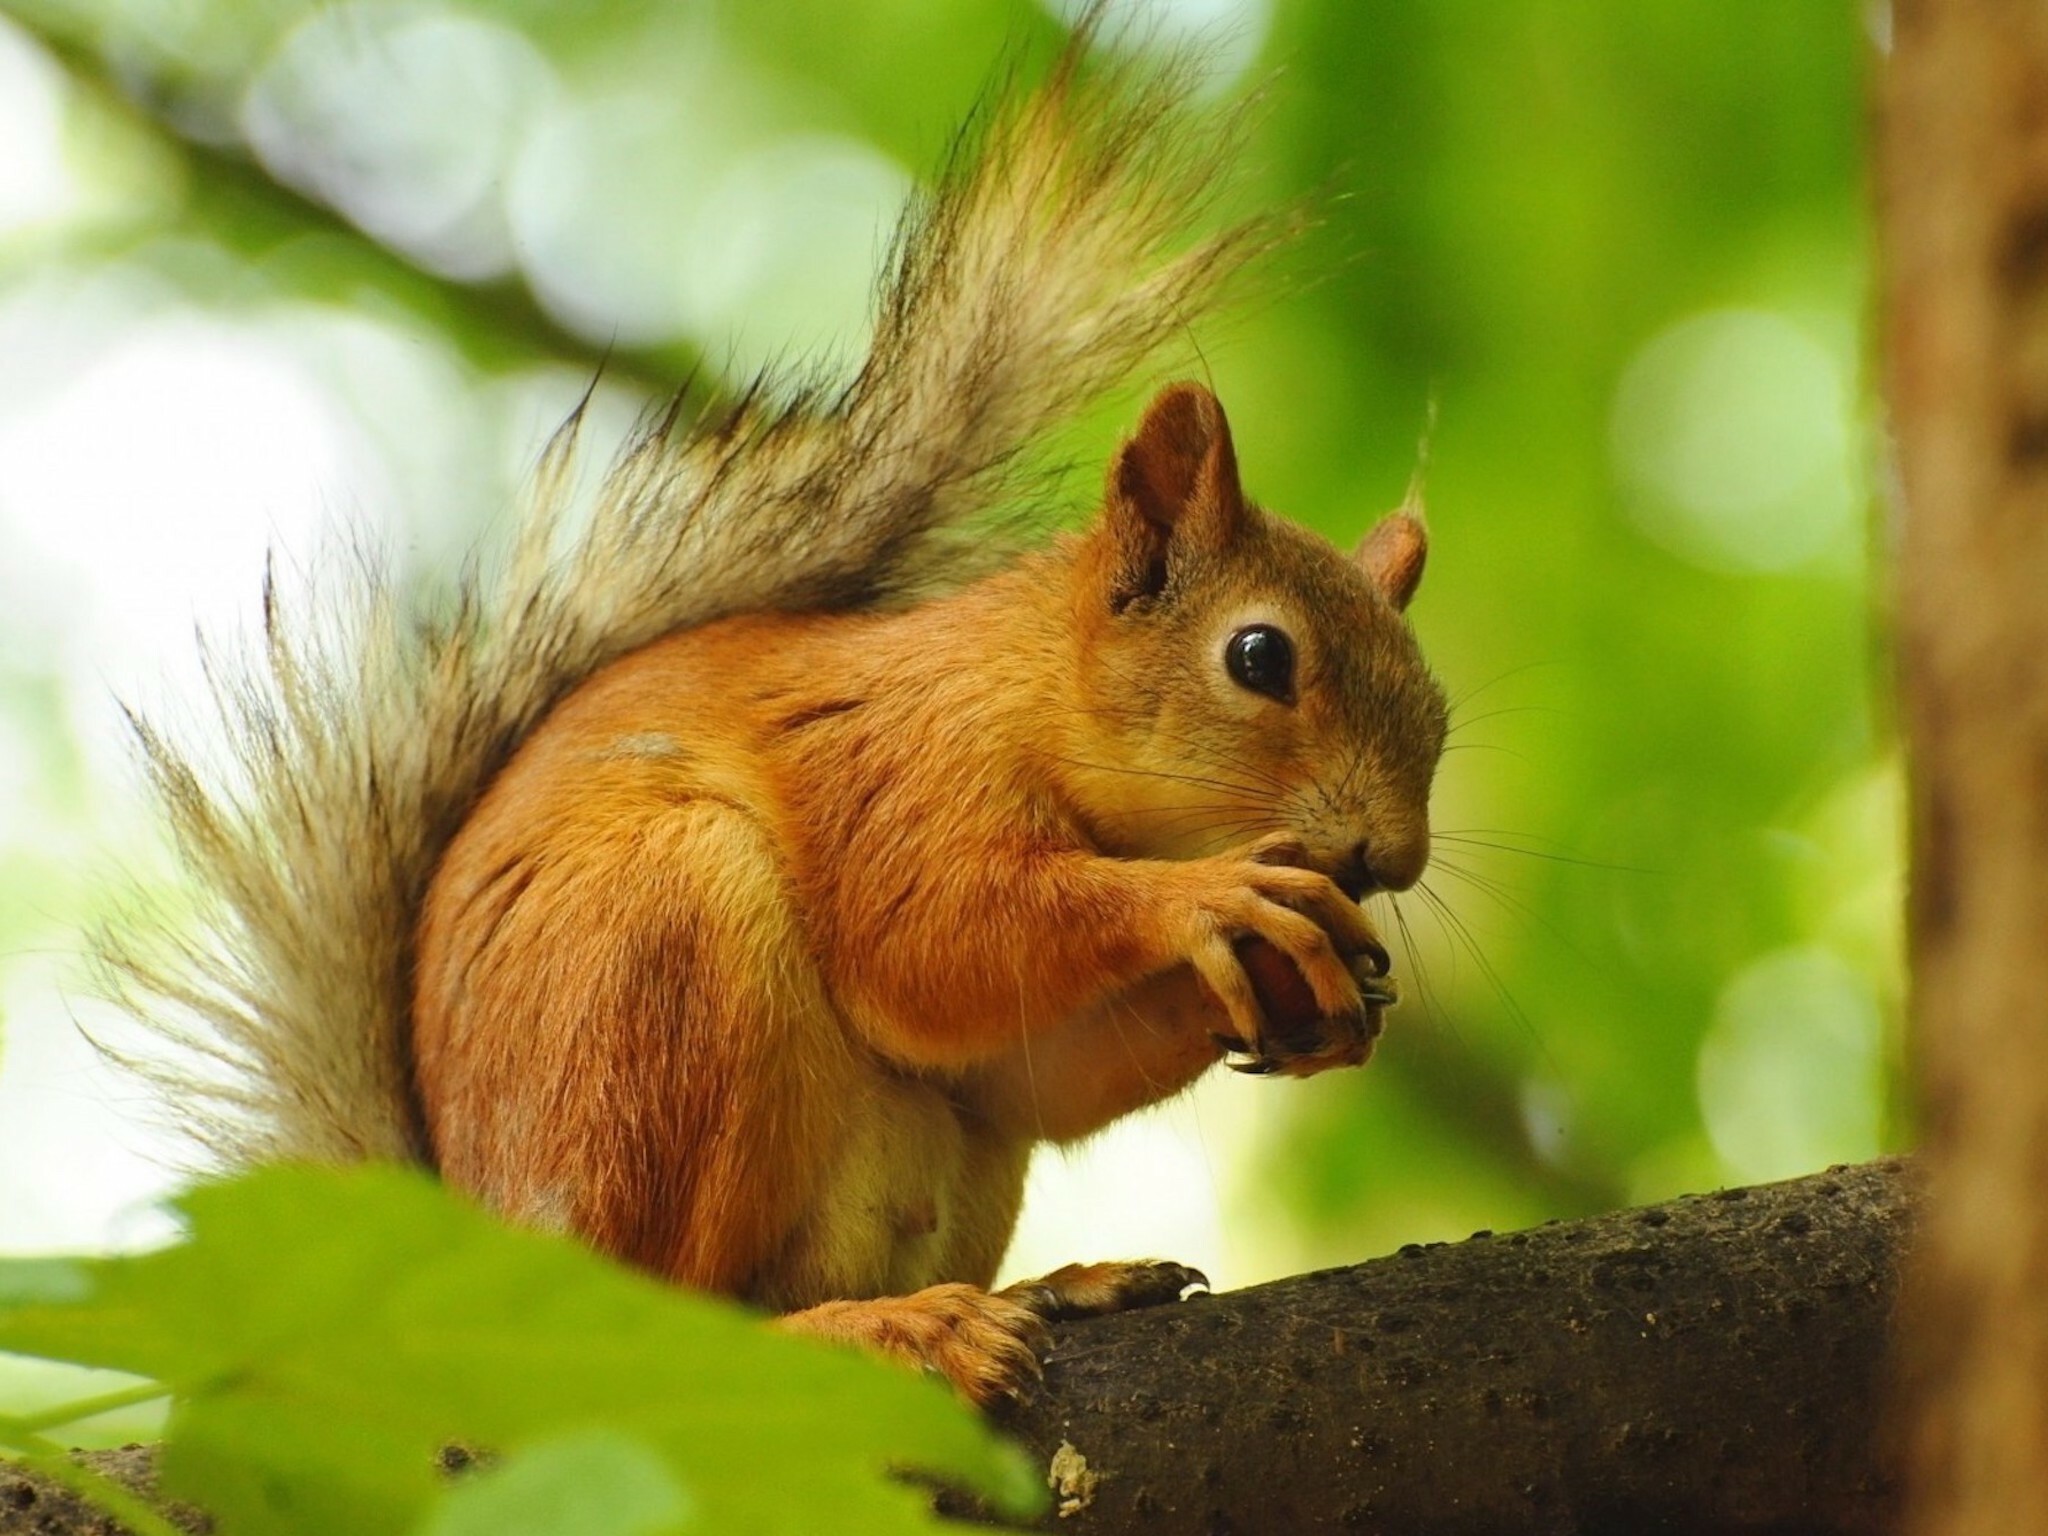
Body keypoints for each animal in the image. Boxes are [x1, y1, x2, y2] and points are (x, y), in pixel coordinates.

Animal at [92, 15, 1441, 1409]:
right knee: (669, 1324)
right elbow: (931, 940)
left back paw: (1051, 1288)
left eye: (1435, 700)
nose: (1391, 857)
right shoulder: (892, 768)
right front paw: (1211, 900)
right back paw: (887, 1329)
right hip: (661, 969)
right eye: (1258, 656)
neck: (1024, 690)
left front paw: (1318, 992)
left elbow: (1027, 1070)